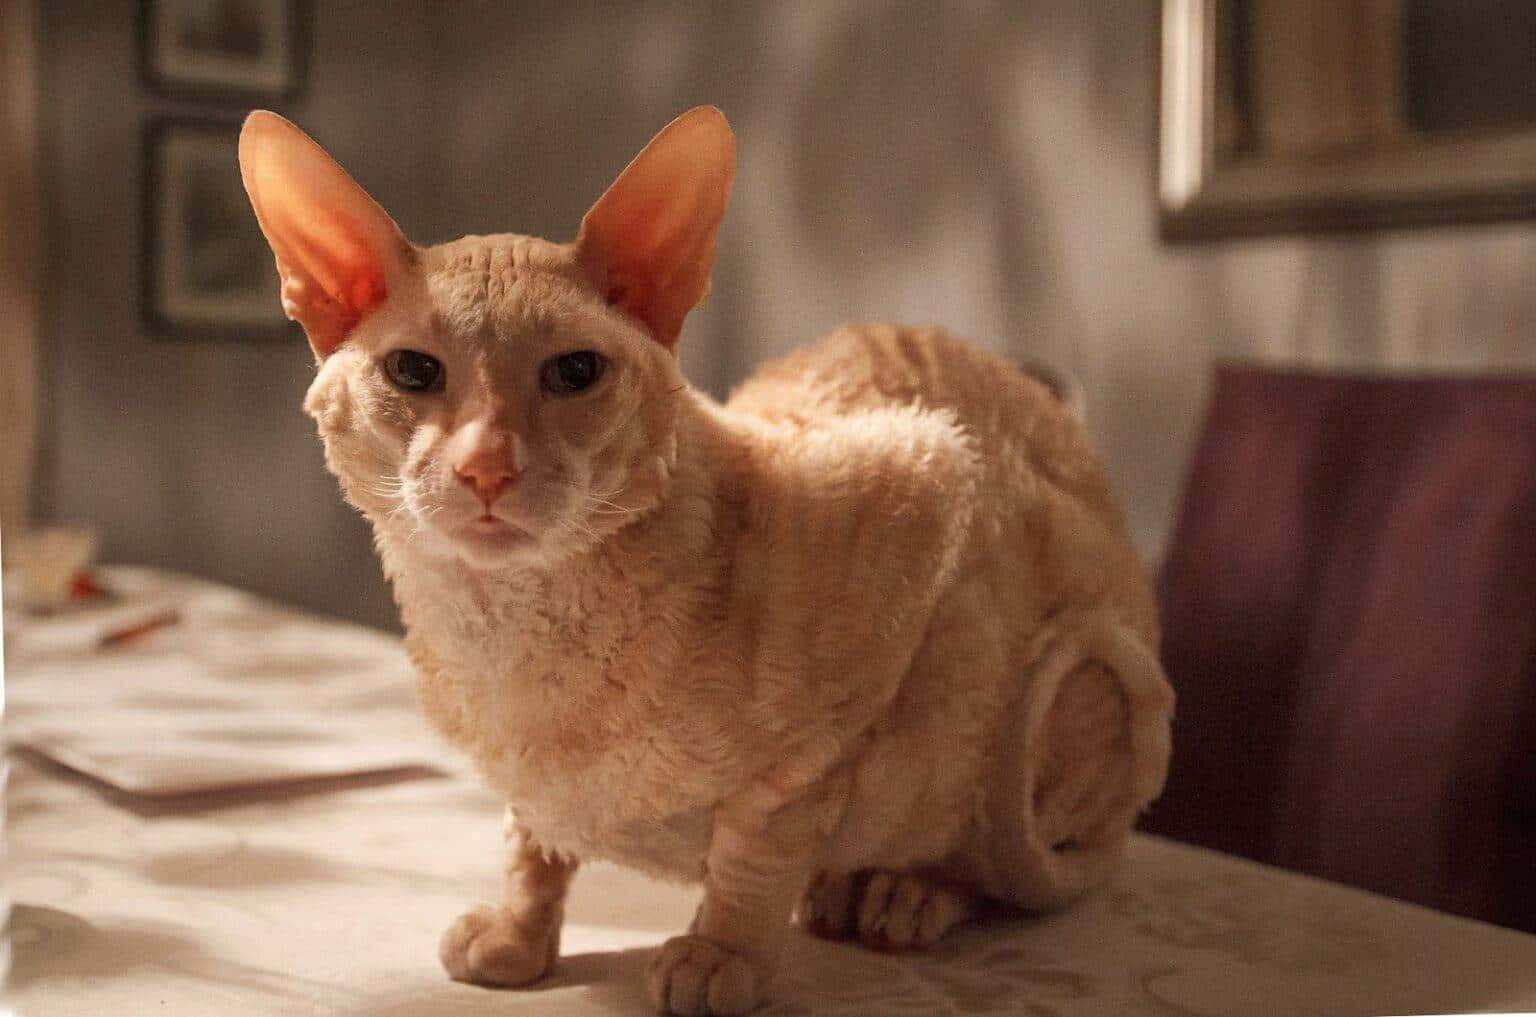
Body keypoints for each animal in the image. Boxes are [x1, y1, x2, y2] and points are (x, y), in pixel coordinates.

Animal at [242, 105, 1173, 1017]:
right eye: (413, 370)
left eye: (574, 372)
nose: (486, 466)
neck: (507, 641)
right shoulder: (528, 776)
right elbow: (528, 835)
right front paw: (517, 932)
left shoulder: (920, 491)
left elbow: (755, 845)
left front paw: (723, 951)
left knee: (997, 854)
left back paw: (903, 892)